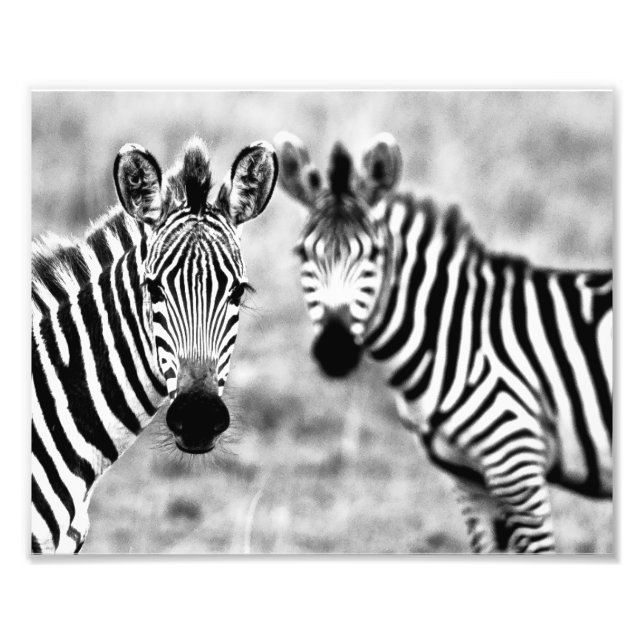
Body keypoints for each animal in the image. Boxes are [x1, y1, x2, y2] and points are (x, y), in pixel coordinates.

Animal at [274, 131, 612, 553]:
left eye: (376, 254)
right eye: (302, 253)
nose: (335, 351)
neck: (458, 335)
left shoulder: (517, 465)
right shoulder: (469, 481)